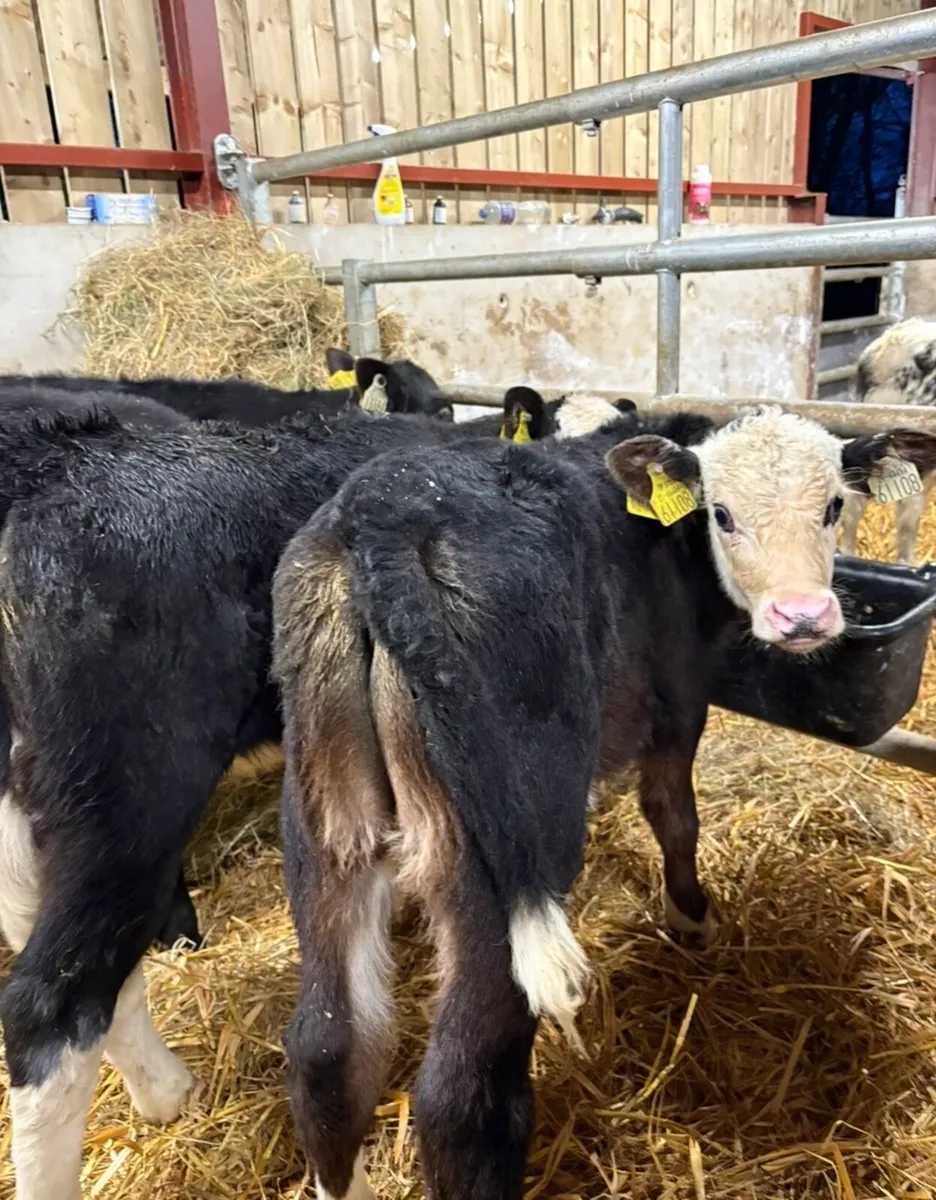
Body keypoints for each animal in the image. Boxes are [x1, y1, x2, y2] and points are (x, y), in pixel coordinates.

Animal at [271, 407, 936, 1200]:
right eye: (721, 513)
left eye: (835, 505)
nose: (801, 616)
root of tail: (386, 515)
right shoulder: (680, 699)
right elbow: (674, 815)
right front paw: (693, 917)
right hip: (503, 845)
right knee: (460, 1092)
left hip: (325, 818)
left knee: (328, 1047)